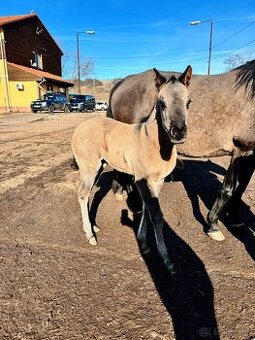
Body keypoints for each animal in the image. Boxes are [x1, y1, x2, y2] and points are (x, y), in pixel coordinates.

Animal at [106, 59, 254, 240]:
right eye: (161, 103)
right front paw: (213, 225)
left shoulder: (250, 155)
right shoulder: (241, 149)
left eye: (189, 102)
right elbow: (228, 189)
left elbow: (240, 188)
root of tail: (123, 81)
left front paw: (234, 220)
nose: (178, 132)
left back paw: (119, 191)